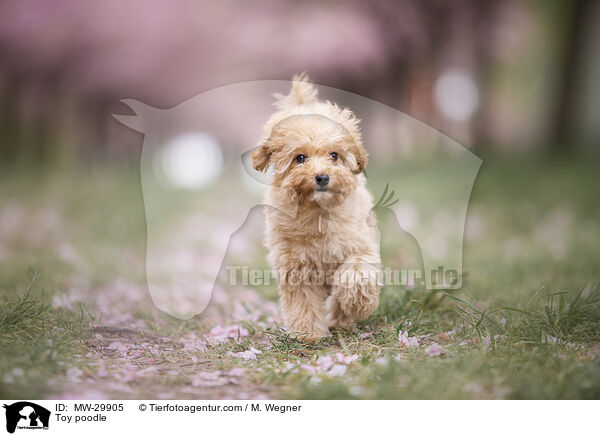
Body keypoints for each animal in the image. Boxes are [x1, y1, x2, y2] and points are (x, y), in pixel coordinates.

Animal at [252, 75, 382, 340]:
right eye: (300, 158)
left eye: (334, 155)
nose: (322, 177)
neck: (318, 212)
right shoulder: (296, 266)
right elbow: (303, 302)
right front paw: (308, 333)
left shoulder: (360, 245)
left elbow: (357, 274)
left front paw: (357, 305)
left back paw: (343, 317)